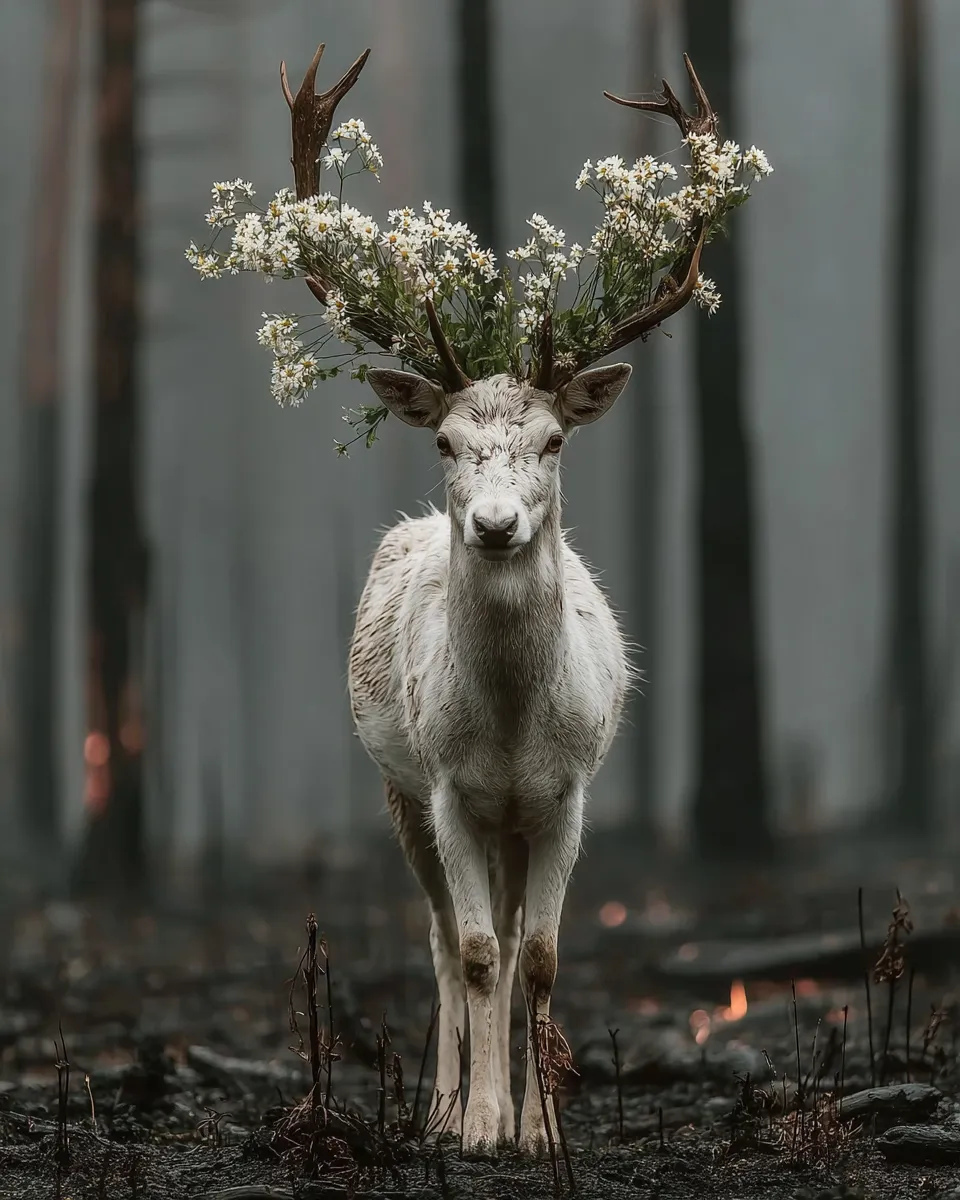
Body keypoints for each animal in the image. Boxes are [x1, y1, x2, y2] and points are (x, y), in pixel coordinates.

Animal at [194, 36, 768, 1161]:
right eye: (447, 443)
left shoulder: (569, 796)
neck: (507, 729)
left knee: (502, 934)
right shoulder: (451, 790)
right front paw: (479, 1127)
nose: (496, 525)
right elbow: (468, 951)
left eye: (553, 440)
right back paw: (446, 1105)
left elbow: (536, 955)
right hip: (401, 795)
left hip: (507, 823)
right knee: (438, 936)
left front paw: (543, 1134)